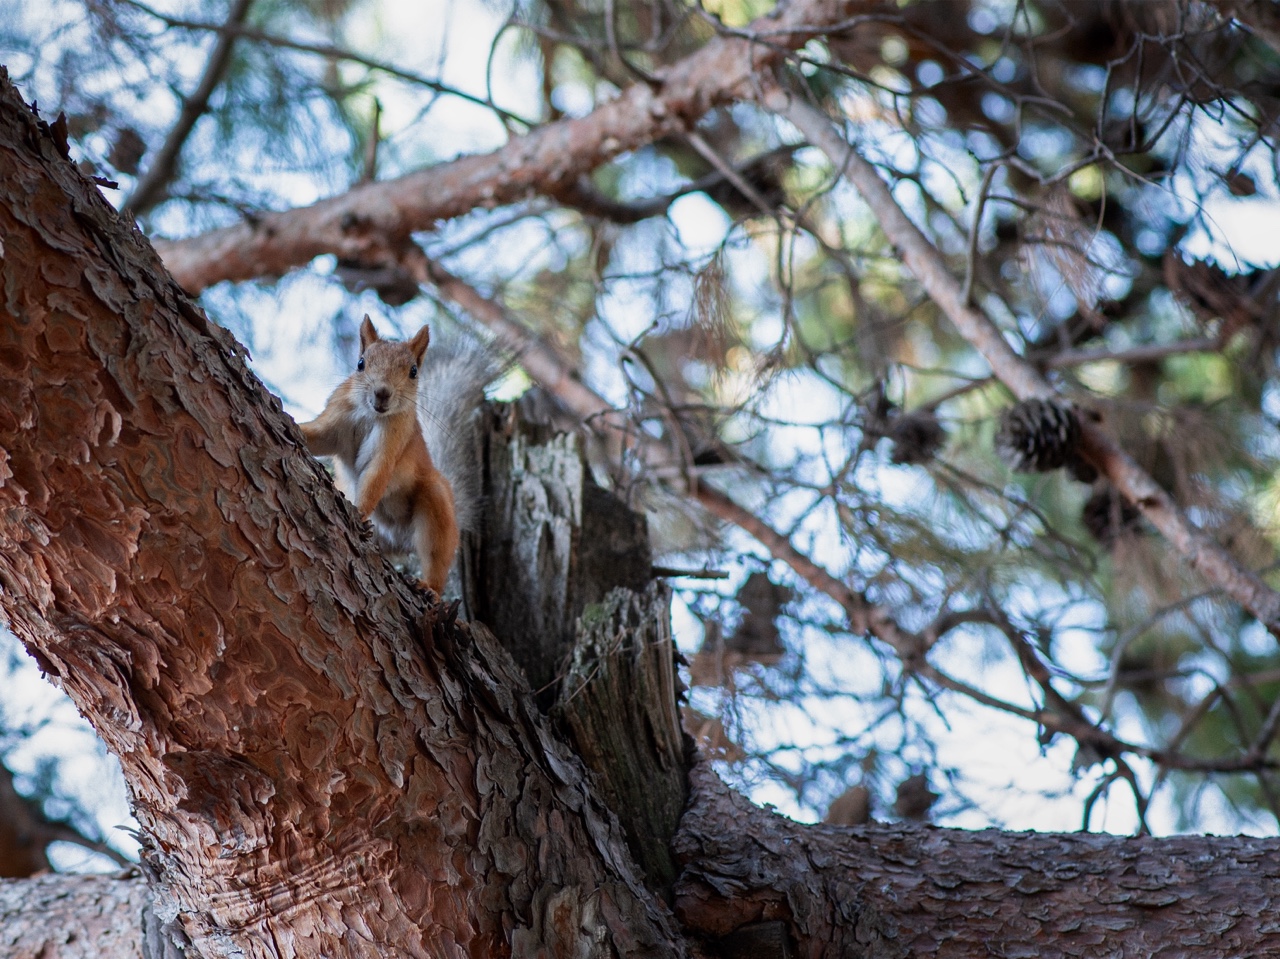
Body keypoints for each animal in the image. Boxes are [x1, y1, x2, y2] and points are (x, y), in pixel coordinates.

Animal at [298, 315, 492, 596]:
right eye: (360, 363)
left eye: (413, 371)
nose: (382, 392)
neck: (370, 414)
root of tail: (397, 541)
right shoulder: (335, 422)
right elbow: (316, 436)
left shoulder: (393, 441)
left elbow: (376, 474)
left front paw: (359, 512)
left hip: (436, 509)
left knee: (437, 556)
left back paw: (429, 588)